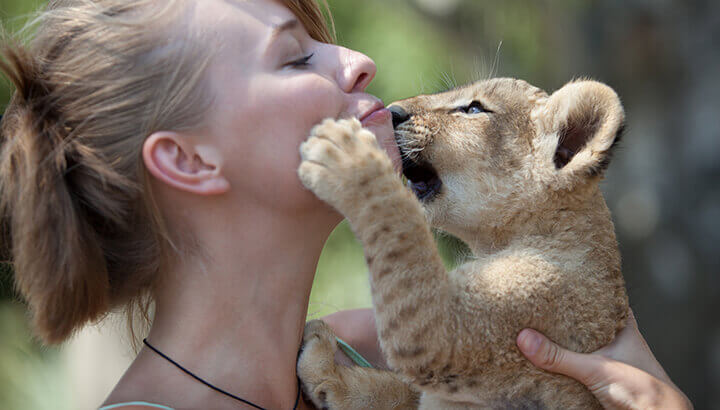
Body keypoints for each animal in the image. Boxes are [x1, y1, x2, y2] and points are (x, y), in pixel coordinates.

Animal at [296, 78, 629, 409]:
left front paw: (349, 156)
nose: (392, 111)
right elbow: (391, 389)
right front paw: (326, 368)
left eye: (473, 109)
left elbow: (395, 219)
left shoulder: (459, 328)